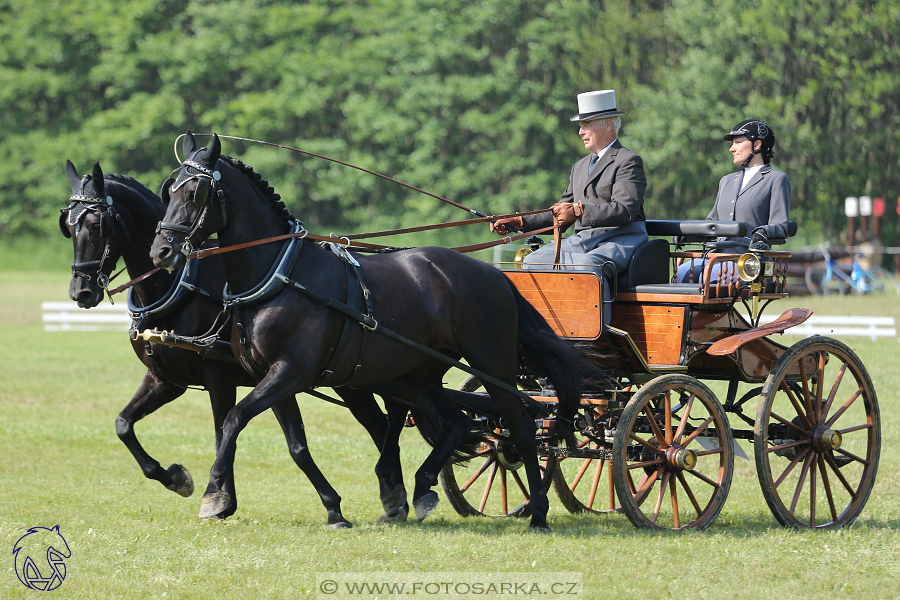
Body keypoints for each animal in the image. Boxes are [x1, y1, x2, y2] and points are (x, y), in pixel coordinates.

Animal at [56, 162, 408, 528]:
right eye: (68, 224)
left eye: (96, 224)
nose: (81, 292)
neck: (179, 285)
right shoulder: (166, 380)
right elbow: (123, 425)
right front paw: (176, 478)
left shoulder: (219, 378)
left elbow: (222, 432)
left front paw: (220, 498)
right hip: (346, 378)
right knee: (379, 424)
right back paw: (396, 497)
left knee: (386, 422)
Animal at [149, 134, 584, 532]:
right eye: (169, 189)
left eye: (195, 191)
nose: (161, 252)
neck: (278, 275)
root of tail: (495, 275)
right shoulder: (271, 377)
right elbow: (294, 446)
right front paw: (333, 509)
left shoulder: (290, 373)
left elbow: (234, 419)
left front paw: (213, 495)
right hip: (416, 376)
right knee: (457, 423)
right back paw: (422, 487)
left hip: (491, 363)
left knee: (520, 425)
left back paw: (538, 513)